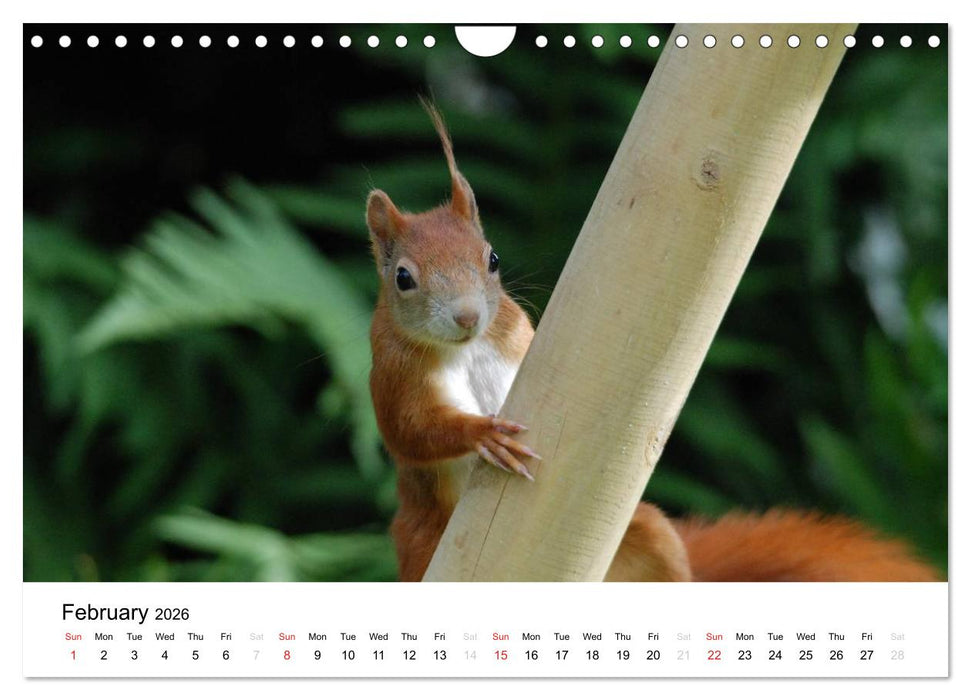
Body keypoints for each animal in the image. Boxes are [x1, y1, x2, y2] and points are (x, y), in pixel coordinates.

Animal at [365, 103, 939, 583]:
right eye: (403, 278)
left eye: (493, 259)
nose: (467, 316)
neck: (466, 348)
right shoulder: (392, 374)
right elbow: (409, 430)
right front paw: (483, 433)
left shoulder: (516, 336)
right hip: (421, 544)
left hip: (651, 537)